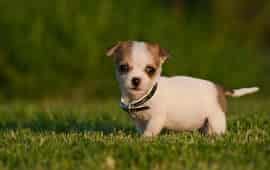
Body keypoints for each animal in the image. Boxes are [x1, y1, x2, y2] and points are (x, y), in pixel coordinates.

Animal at [106, 40, 258, 137]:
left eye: (150, 70)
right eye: (123, 67)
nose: (136, 80)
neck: (146, 95)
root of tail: (219, 88)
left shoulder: (156, 119)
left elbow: (150, 131)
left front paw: (145, 140)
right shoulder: (139, 121)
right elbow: (141, 129)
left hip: (216, 119)